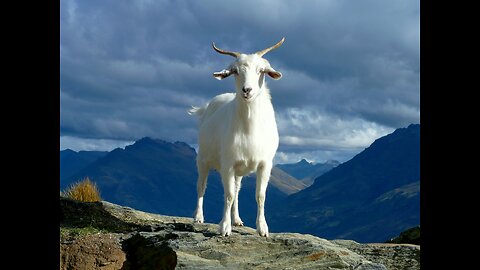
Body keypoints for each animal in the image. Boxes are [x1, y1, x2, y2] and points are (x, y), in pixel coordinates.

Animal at [188, 37, 284, 236]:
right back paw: (198, 217)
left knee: (238, 190)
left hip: (240, 169)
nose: (247, 90)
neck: (249, 128)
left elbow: (259, 195)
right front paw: (224, 227)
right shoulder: (228, 165)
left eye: (261, 71)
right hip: (203, 160)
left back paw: (237, 220)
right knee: (201, 186)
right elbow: (228, 195)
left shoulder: (265, 164)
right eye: (235, 71)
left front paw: (262, 228)